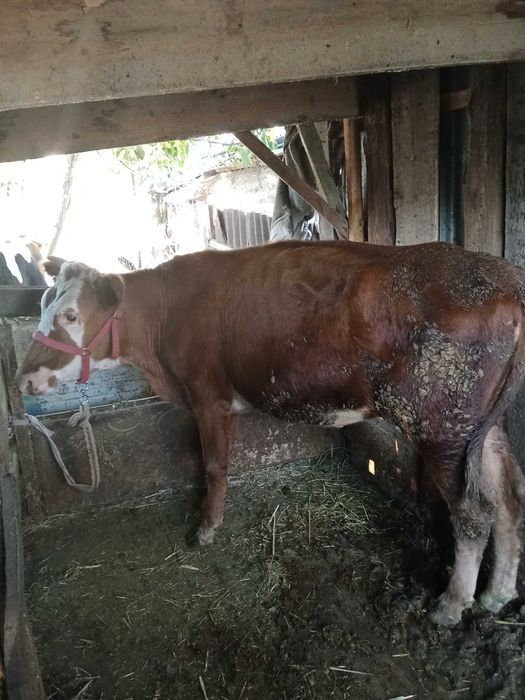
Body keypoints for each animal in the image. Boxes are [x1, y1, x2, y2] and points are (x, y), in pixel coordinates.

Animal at [16, 240, 525, 626]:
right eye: (41, 305)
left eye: (71, 316)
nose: (22, 380)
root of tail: (506, 277)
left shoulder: (208, 395)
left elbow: (215, 465)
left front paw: (205, 528)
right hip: (482, 428)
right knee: (508, 496)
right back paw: (496, 595)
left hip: (443, 426)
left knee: (472, 512)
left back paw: (452, 605)